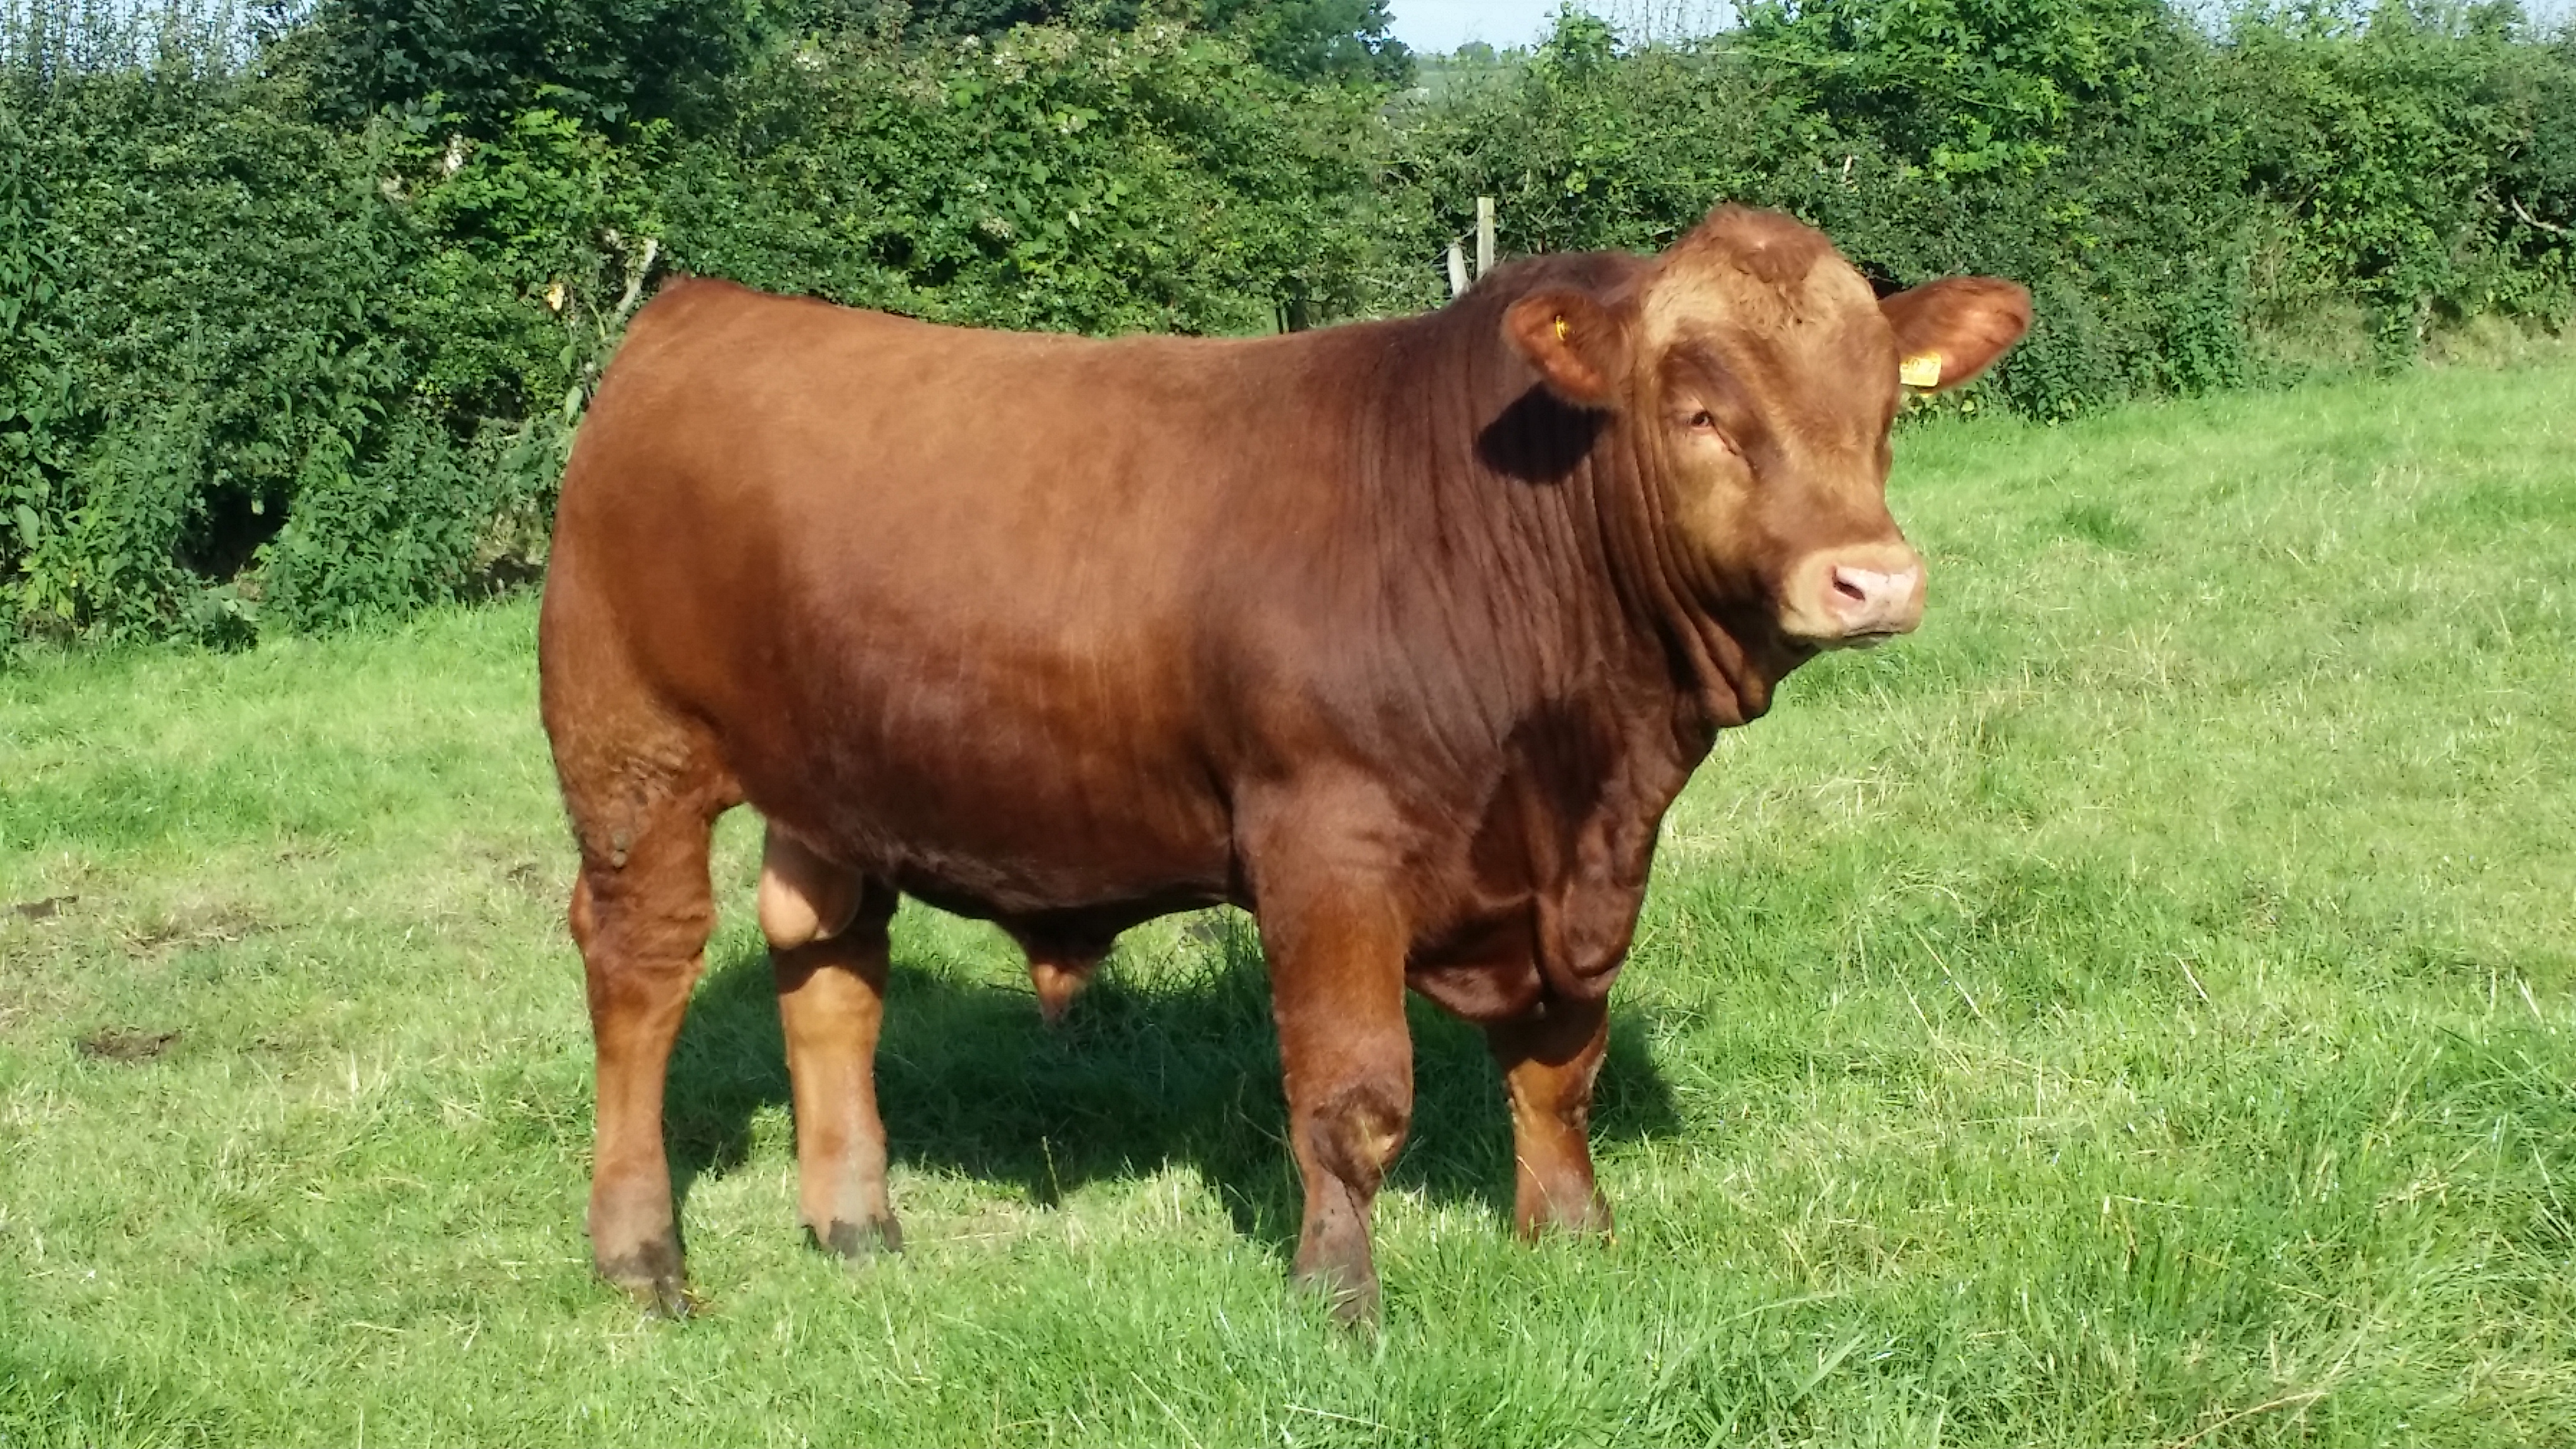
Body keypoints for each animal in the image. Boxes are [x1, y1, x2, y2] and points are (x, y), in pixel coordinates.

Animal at [537, 203, 2030, 1322]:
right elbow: (1353, 1095)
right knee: (642, 975)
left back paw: (854, 1224)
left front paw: (1573, 1238)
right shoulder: (1326, 845)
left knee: (830, 967)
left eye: (1882, 405)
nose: (1872, 579)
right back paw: (643, 1260)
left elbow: (1560, 1062)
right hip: (633, 754)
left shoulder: (1582, 874)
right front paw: (1338, 1299)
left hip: (835, 783)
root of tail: (692, 313)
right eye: (1698, 410)